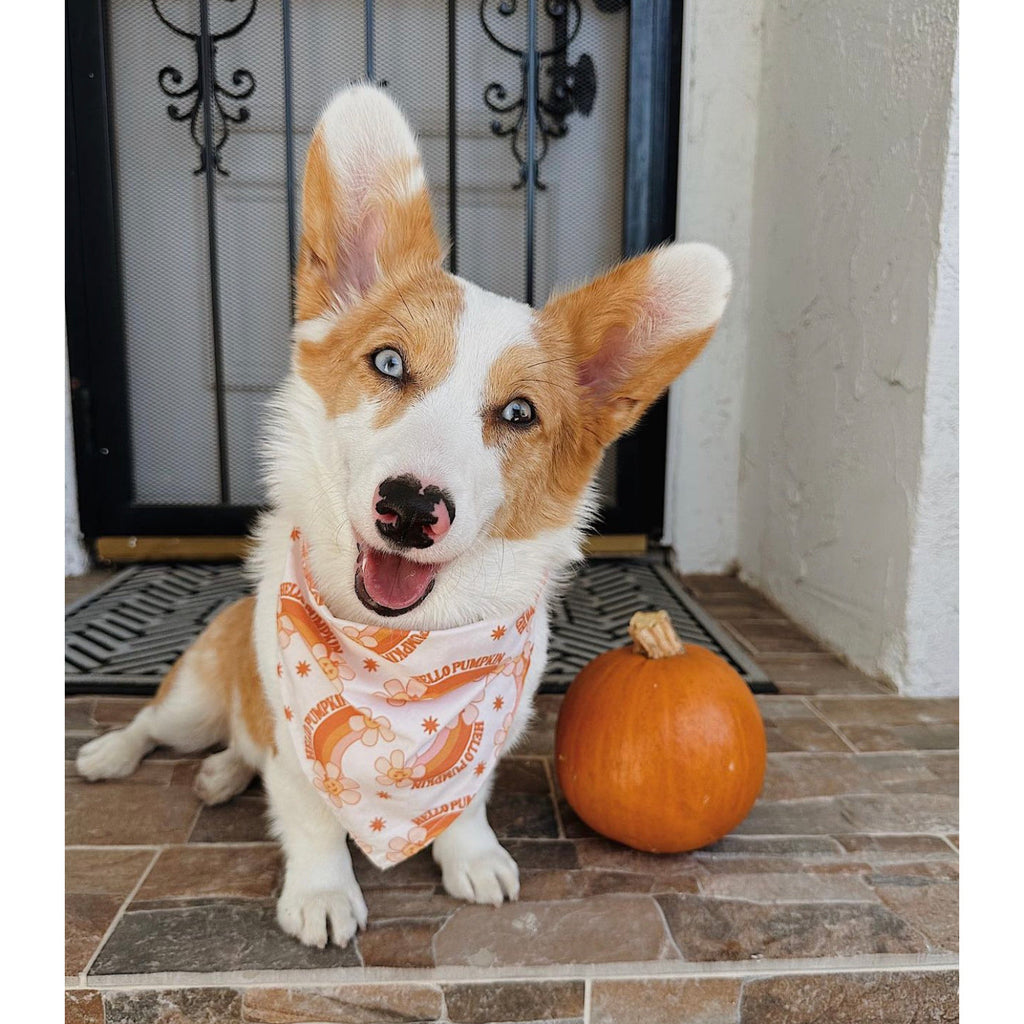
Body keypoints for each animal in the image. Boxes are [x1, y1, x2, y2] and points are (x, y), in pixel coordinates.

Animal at [75, 83, 733, 946]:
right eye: (389, 362)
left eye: (519, 413)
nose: (413, 508)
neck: (403, 651)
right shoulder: (297, 751)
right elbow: (313, 820)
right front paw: (322, 896)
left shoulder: (488, 742)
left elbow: (467, 807)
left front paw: (472, 860)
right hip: (193, 698)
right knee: (158, 726)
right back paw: (116, 757)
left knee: (236, 752)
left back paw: (220, 773)